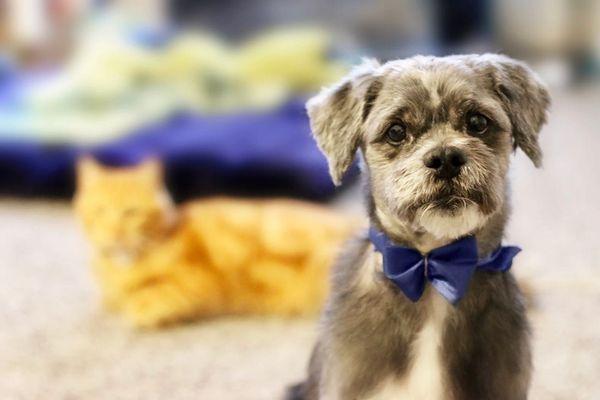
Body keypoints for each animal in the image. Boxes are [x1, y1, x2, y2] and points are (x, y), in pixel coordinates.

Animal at [72, 158, 358, 326]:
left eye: (130, 212)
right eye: (100, 210)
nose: (115, 231)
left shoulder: (195, 280)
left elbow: (157, 295)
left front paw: (139, 308)